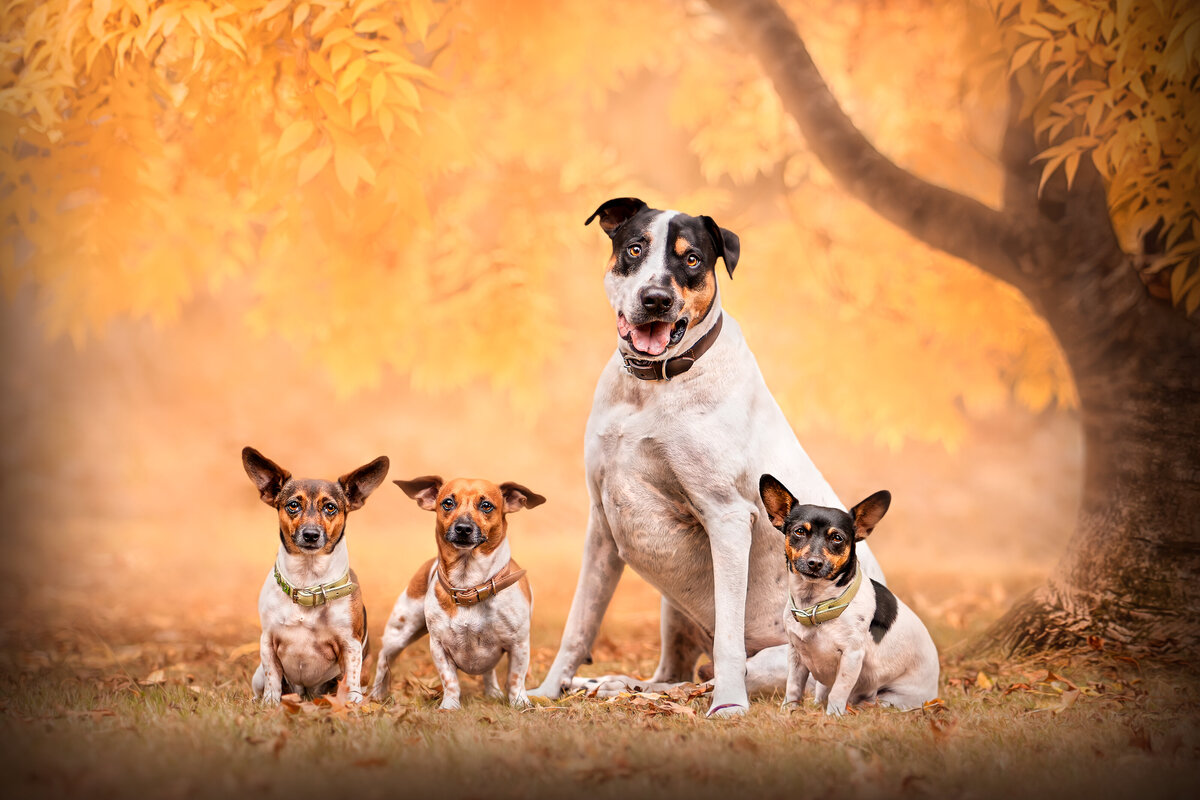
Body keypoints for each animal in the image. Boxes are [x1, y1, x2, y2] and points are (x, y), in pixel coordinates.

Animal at [241, 448, 391, 705]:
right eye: (293, 505)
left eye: (330, 507)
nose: (311, 534)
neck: (308, 583)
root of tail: (307, 694)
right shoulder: (268, 642)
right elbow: (273, 679)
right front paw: (270, 704)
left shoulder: (350, 645)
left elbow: (351, 680)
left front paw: (353, 704)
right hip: (258, 675)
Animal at [367, 474, 547, 705]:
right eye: (448, 503)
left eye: (486, 505)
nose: (463, 528)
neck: (468, 584)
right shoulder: (439, 647)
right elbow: (450, 680)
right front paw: (450, 705)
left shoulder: (519, 645)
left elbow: (515, 679)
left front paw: (519, 703)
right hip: (399, 633)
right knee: (383, 661)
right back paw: (376, 694)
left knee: (489, 672)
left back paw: (492, 691)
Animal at [530, 200, 888, 719]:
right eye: (634, 249)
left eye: (692, 259)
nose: (656, 298)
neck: (652, 386)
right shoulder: (601, 524)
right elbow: (580, 623)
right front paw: (546, 691)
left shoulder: (728, 517)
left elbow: (728, 644)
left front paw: (730, 706)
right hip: (672, 611)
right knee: (669, 675)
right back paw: (613, 684)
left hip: (785, 656)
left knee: (704, 677)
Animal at [758, 472, 936, 714]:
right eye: (799, 532)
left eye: (837, 538)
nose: (815, 562)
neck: (817, 604)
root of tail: (934, 694)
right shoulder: (796, 655)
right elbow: (793, 687)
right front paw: (789, 711)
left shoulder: (851, 658)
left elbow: (838, 692)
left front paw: (832, 716)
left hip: (890, 699)